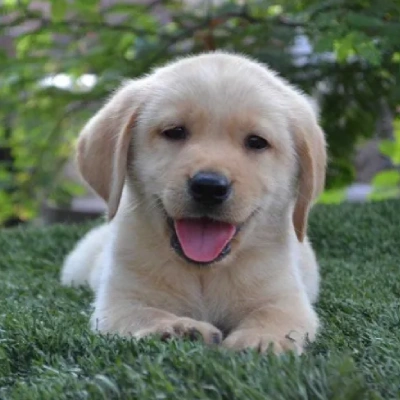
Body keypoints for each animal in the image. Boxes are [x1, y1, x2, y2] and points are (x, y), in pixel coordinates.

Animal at [61, 50, 324, 354]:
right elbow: (144, 313)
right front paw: (176, 328)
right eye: (174, 132)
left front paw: (261, 340)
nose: (209, 187)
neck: (204, 272)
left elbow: (273, 315)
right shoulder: (118, 302)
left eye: (257, 142)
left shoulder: (287, 298)